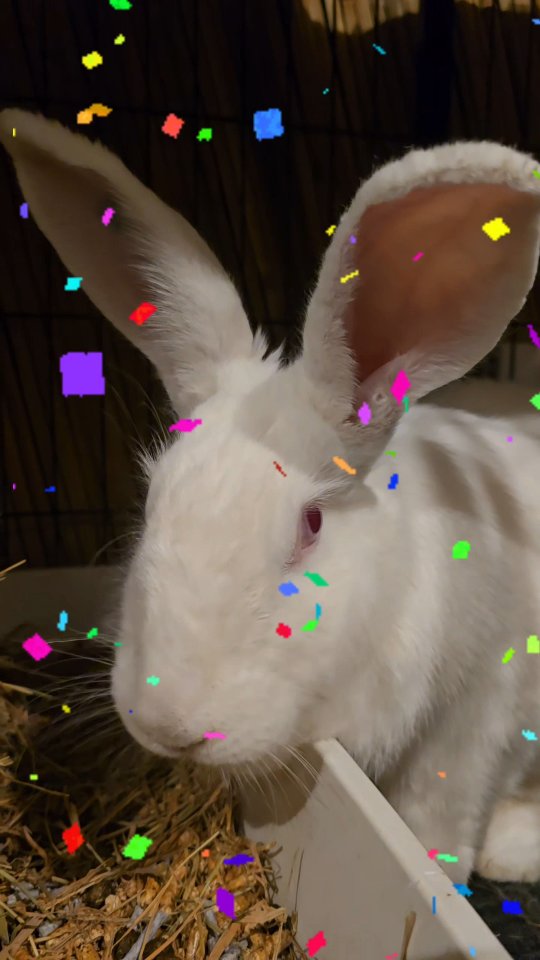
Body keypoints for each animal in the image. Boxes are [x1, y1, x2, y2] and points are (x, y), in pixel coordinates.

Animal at [2, 108, 540, 888]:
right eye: (152, 499)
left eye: (310, 523)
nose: (167, 724)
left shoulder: (469, 726)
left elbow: (434, 823)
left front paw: (439, 871)